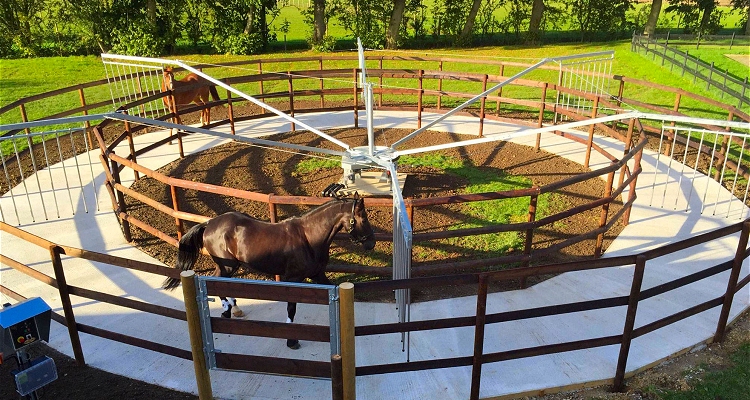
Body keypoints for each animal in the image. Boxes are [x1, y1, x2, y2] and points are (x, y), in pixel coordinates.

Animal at [164, 195, 376, 348]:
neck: (309, 237)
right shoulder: (294, 278)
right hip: (228, 265)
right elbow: (291, 308)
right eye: (364, 218)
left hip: (230, 265)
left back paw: (233, 308)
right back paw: (227, 310)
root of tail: (209, 224)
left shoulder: (318, 275)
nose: (371, 243)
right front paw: (292, 341)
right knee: (216, 281)